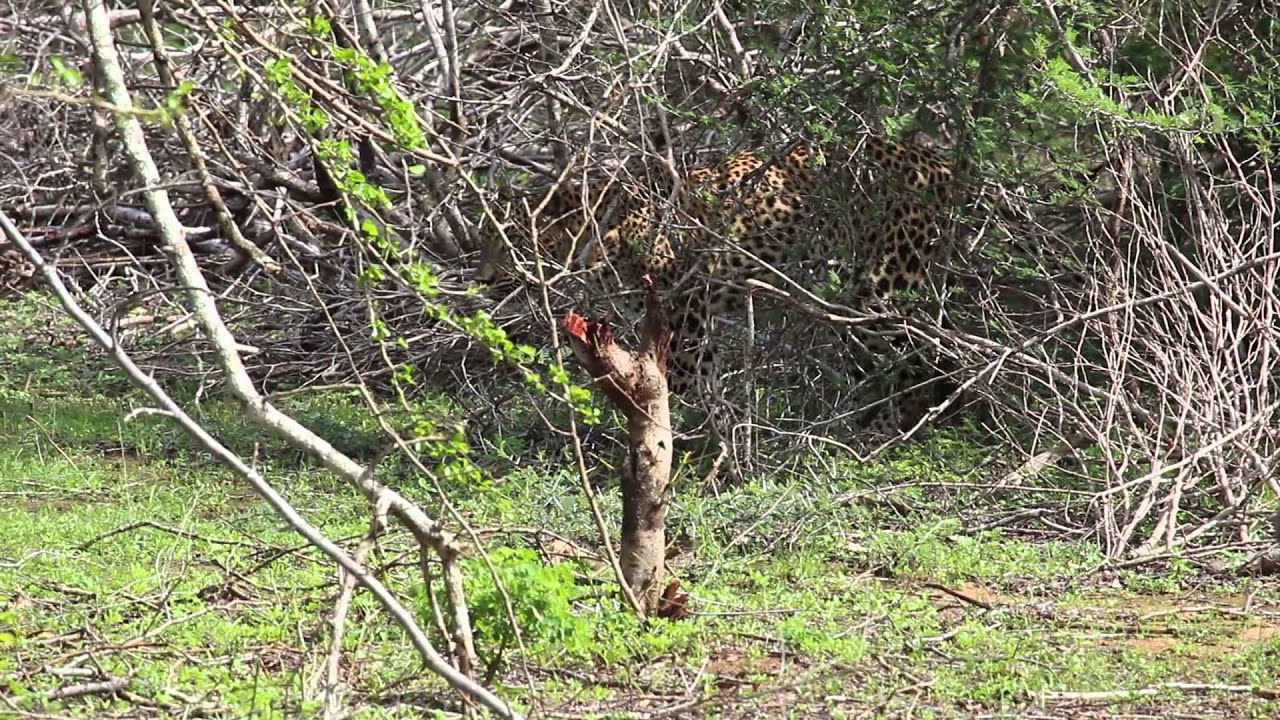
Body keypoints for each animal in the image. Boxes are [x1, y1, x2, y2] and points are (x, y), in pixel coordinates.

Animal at [474, 131, 963, 440]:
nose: (483, 280)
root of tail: (942, 165)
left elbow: (683, 378)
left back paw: (885, 433)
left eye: (507, 239)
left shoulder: (683, 304)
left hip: (883, 288)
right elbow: (701, 379)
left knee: (918, 362)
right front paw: (719, 436)